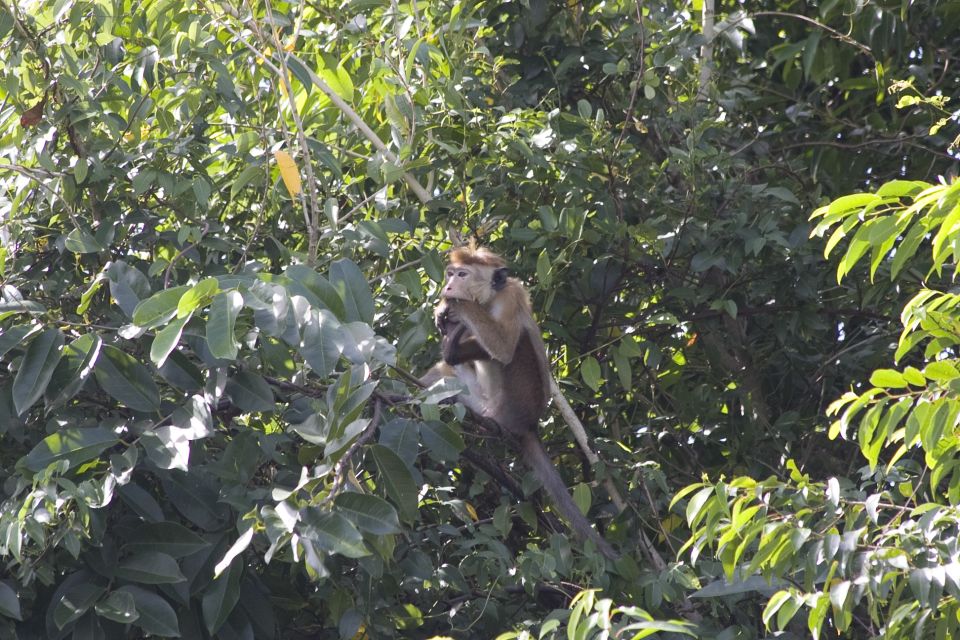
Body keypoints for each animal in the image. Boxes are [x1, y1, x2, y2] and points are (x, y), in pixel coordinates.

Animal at [418, 242, 616, 556]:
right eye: (451, 273)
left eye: (462, 274)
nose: (448, 285)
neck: (488, 300)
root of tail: (530, 424)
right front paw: (446, 314)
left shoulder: (510, 298)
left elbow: (503, 347)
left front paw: (455, 306)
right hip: (473, 398)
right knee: (447, 374)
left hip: (514, 403)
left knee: (516, 346)